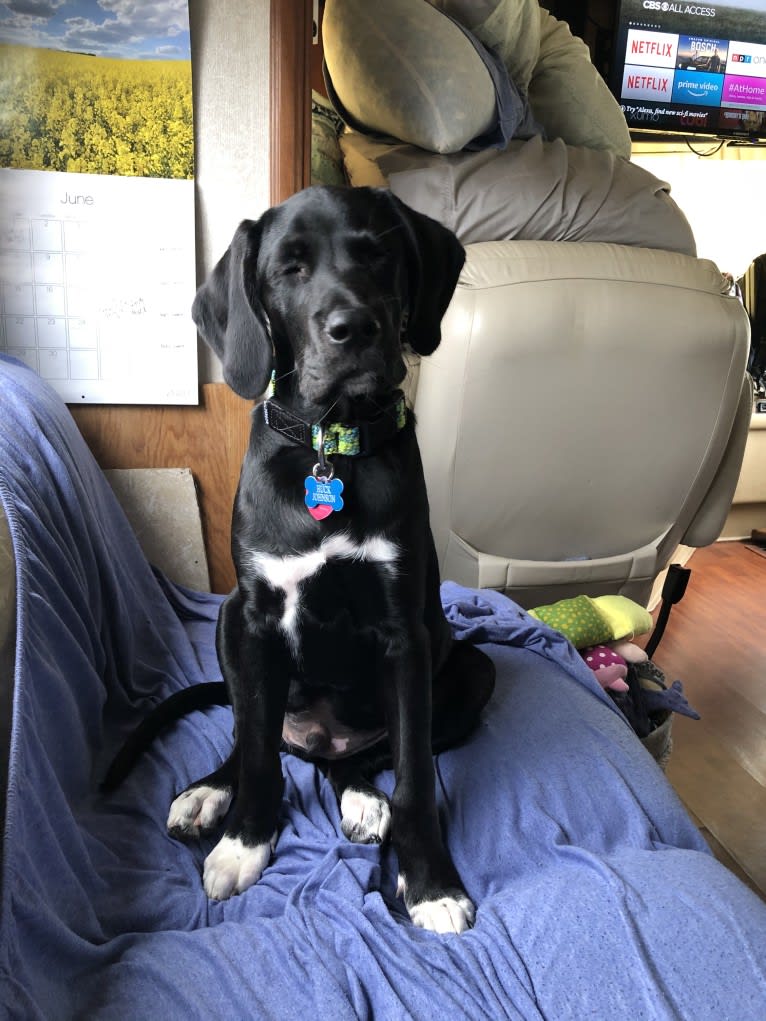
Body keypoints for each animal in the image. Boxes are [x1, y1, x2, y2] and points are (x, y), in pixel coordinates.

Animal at [105, 187, 494, 935]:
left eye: (379, 254)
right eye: (289, 269)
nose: (355, 328)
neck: (330, 444)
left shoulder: (406, 635)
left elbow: (413, 776)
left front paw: (430, 882)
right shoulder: (255, 620)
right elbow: (256, 750)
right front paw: (244, 842)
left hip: (472, 671)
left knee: (367, 755)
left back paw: (361, 797)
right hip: (228, 624)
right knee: (253, 735)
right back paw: (209, 792)